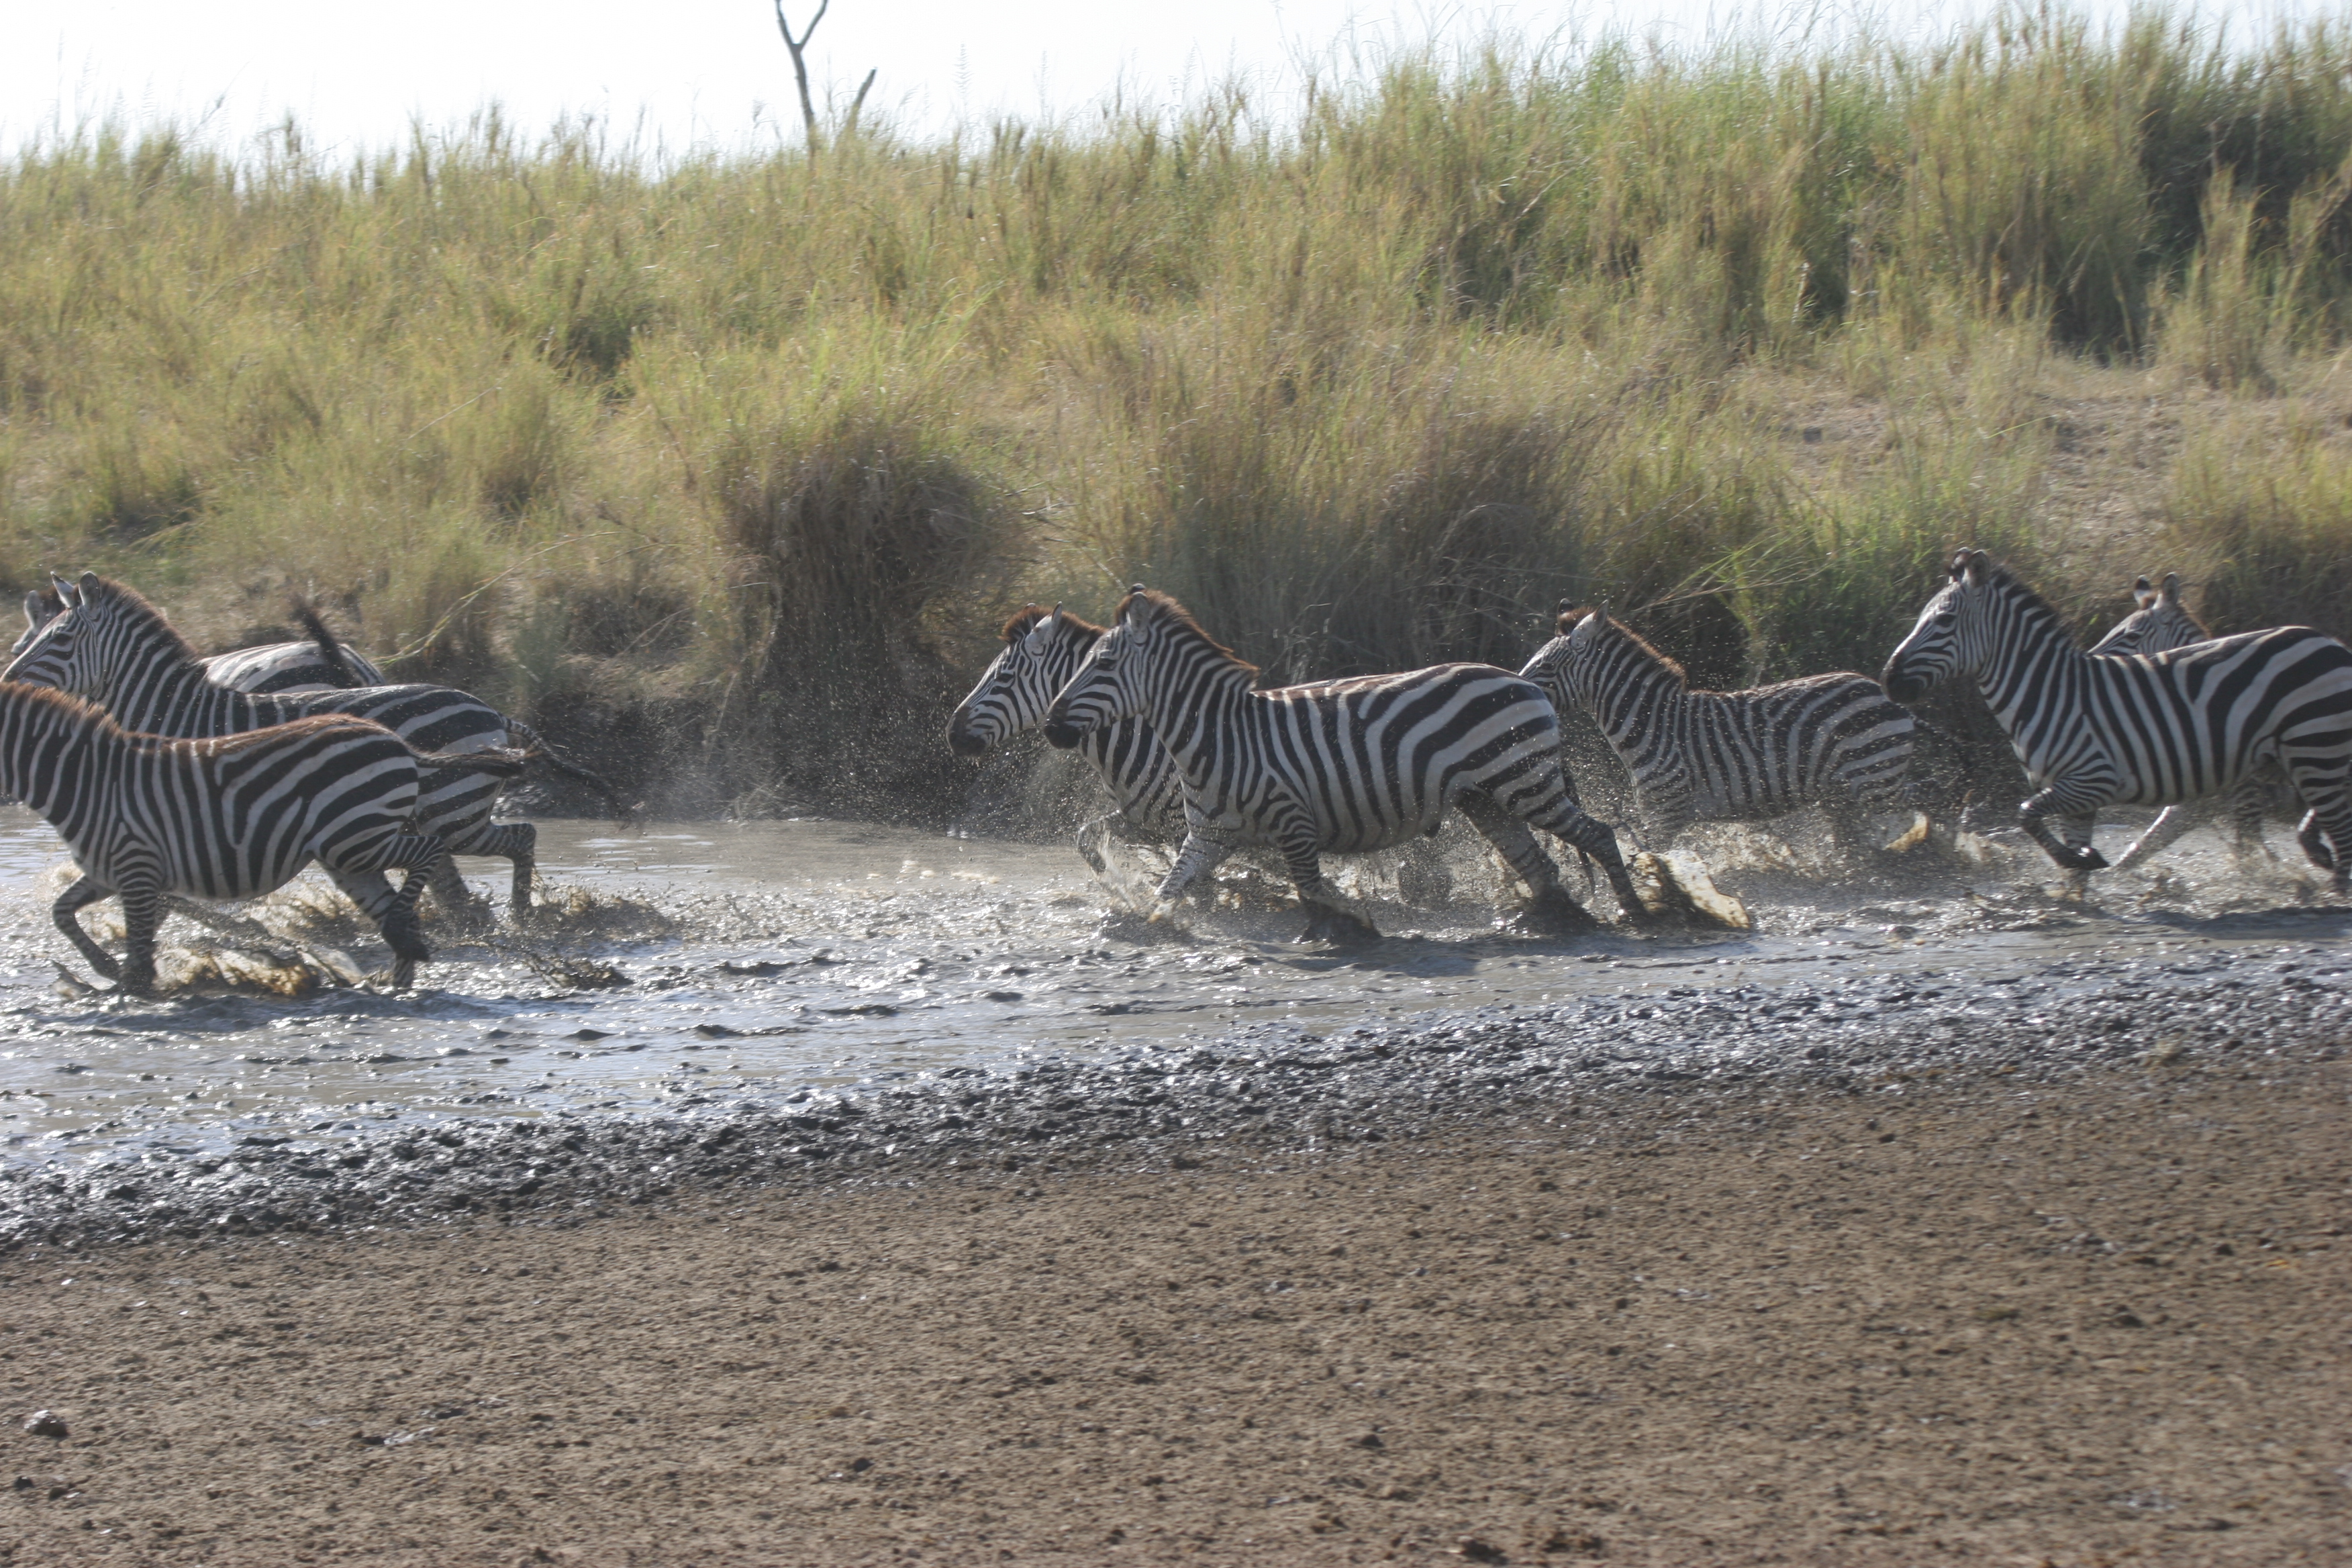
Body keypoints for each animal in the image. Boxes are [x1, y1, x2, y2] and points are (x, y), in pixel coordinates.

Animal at [0, 681, 526, 994]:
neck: (88, 778)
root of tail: (399, 743)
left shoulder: (137, 866)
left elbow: (141, 940)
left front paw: (135, 985)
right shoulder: (110, 871)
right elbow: (62, 912)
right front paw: (107, 970)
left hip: (356, 838)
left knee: (432, 851)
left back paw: (409, 942)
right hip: (349, 852)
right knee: (394, 895)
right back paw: (398, 970)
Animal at [947, 605, 1455, 904]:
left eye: (1004, 678)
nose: (951, 733)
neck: (1142, 737)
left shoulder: (1196, 824)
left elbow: (1208, 878)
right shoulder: (1146, 819)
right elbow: (1087, 837)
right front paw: (1119, 880)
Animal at [1039, 587, 1645, 941]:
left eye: (1103, 663)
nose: (1049, 725)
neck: (1220, 737)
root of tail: (1526, 683)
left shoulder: (1294, 823)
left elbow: (1311, 890)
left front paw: (1350, 930)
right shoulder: (1207, 838)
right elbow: (1168, 894)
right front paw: (1154, 929)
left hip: (1525, 782)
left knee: (1598, 835)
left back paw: (1638, 912)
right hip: (1487, 798)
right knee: (1539, 866)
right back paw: (1543, 924)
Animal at [1520, 603, 1917, 854]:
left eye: (1546, 667)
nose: (1518, 692)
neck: (1651, 724)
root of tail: (1881, 691)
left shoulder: (1665, 812)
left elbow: (1660, 862)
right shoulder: (1658, 812)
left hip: (1876, 781)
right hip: (1844, 795)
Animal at [1881, 550, 2352, 886]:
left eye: (1944, 619)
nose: (1888, 680)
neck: (2048, 694)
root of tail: (2331, 643)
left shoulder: (2094, 781)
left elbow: (2027, 814)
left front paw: (2087, 862)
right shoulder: (2076, 797)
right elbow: (2077, 864)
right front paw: (2075, 894)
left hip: (2314, 748)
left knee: (2340, 832)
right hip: (2316, 756)